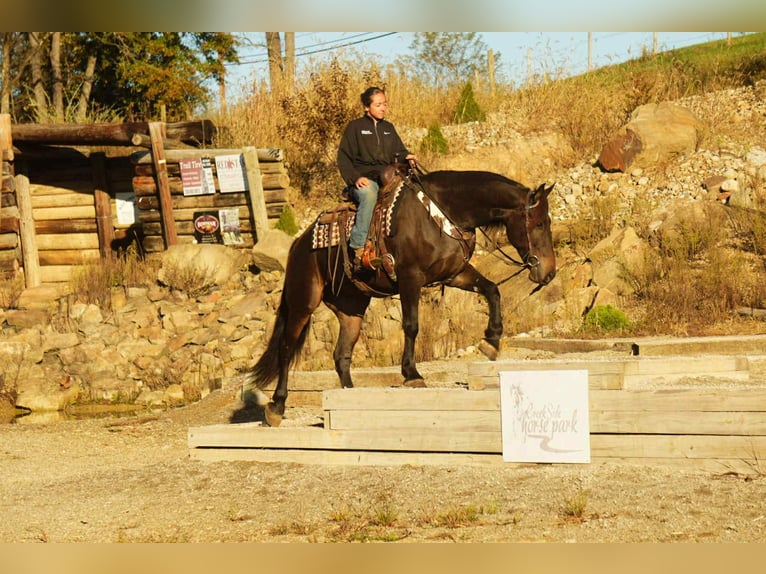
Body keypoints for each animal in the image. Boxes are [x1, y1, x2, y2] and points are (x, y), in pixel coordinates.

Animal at [247, 165, 556, 426]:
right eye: (539, 224)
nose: (549, 273)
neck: (442, 213)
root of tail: (299, 242)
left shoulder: (456, 274)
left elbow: (492, 290)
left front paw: (491, 341)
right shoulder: (410, 278)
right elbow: (411, 325)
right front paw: (412, 374)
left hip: (351, 308)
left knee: (341, 354)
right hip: (304, 302)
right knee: (287, 347)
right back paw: (276, 407)